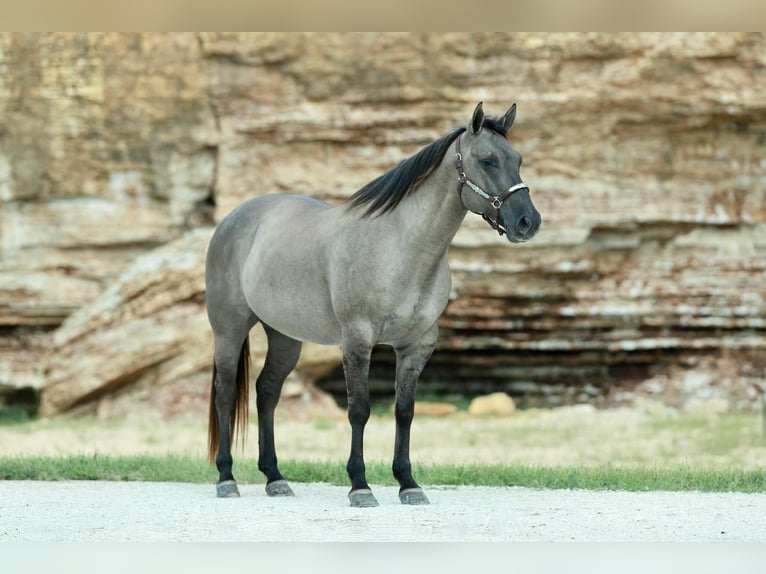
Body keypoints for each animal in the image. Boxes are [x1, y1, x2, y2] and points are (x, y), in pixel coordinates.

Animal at [206, 102, 541, 507]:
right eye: (488, 160)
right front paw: (360, 486)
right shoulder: (358, 340)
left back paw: (275, 477)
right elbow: (359, 411)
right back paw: (227, 478)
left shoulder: (417, 346)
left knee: (267, 392)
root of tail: (234, 218)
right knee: (225, 394)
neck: (399, 248)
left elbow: (404, 412)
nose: (528, 222)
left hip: (284, 336)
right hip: (229, 329)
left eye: (518, 159)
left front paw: (408, 483)